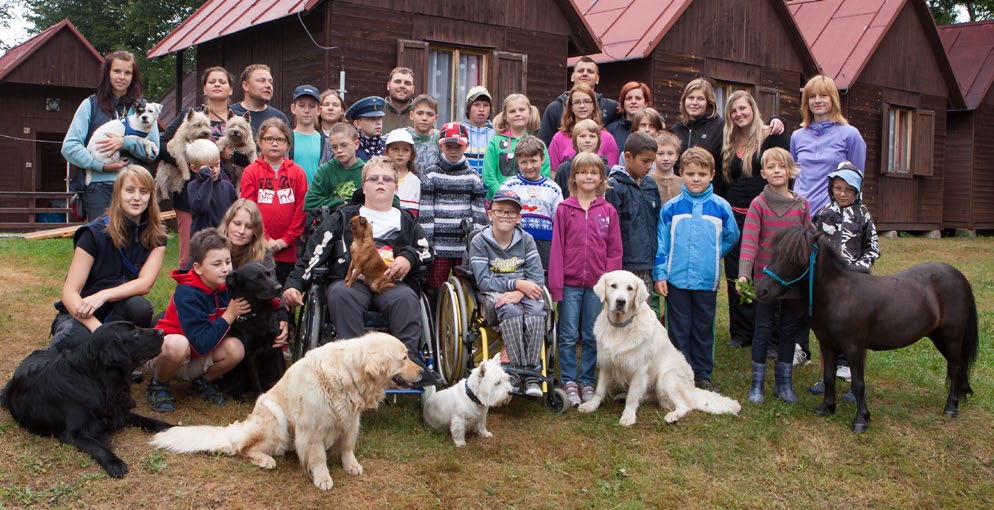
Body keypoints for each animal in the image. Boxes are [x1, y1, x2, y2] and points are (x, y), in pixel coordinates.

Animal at [0, 322, 170, 478]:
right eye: (134, 333)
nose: (162, 332)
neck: (97, 381)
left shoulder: (118, 411)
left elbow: (147, 419)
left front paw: (168, 427)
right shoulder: (73, 434)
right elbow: (98, 446)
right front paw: (114, 462)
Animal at [214, 262, 282, 398]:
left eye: (268, 274)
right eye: (257, 278)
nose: (280, 287)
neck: (257, 314)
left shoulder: (276, 345)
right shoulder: (250, 355)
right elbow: (256, 382)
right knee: (233, 390)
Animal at [752, 225, 976, 432]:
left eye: (796, 258)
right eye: (775, 252)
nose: (761, 290)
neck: (838, 294)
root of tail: (958, 276)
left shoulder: (854, 348)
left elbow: (858, 384)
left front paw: (861, 419)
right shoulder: (828, 344)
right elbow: (828, 376)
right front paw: (827, 407)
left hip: (952, 337)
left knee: (956, 367)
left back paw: (951, 407)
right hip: (939, 337)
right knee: (958, 366)